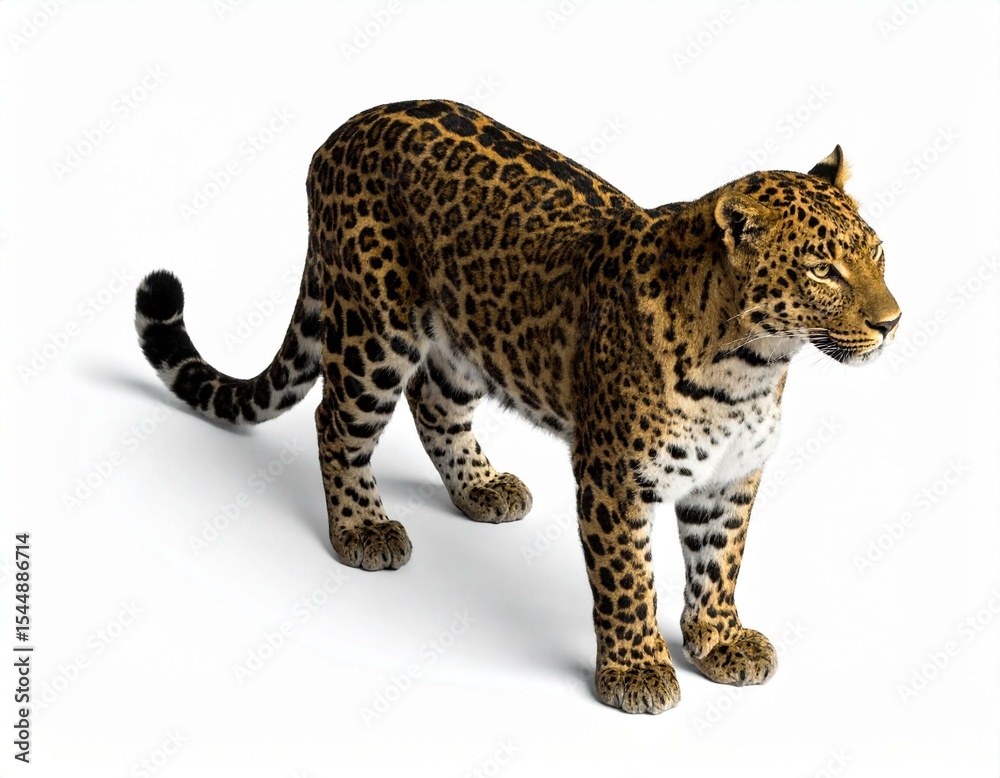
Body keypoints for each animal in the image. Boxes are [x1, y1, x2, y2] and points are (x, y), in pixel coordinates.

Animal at [134, 99, 900, 714]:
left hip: (466, 340)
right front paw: (636, 671)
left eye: (878, 255)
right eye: (823, 270)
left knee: (433, 402)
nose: (892, 322)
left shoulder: (731, 478)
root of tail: (345, 130)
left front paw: (718, 644)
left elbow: (719, 564)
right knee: (336, 421)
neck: (751, 366)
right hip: (374, 330)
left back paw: (481, 488)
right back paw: (362, 529)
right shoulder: (614, 477)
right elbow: (628, 581)